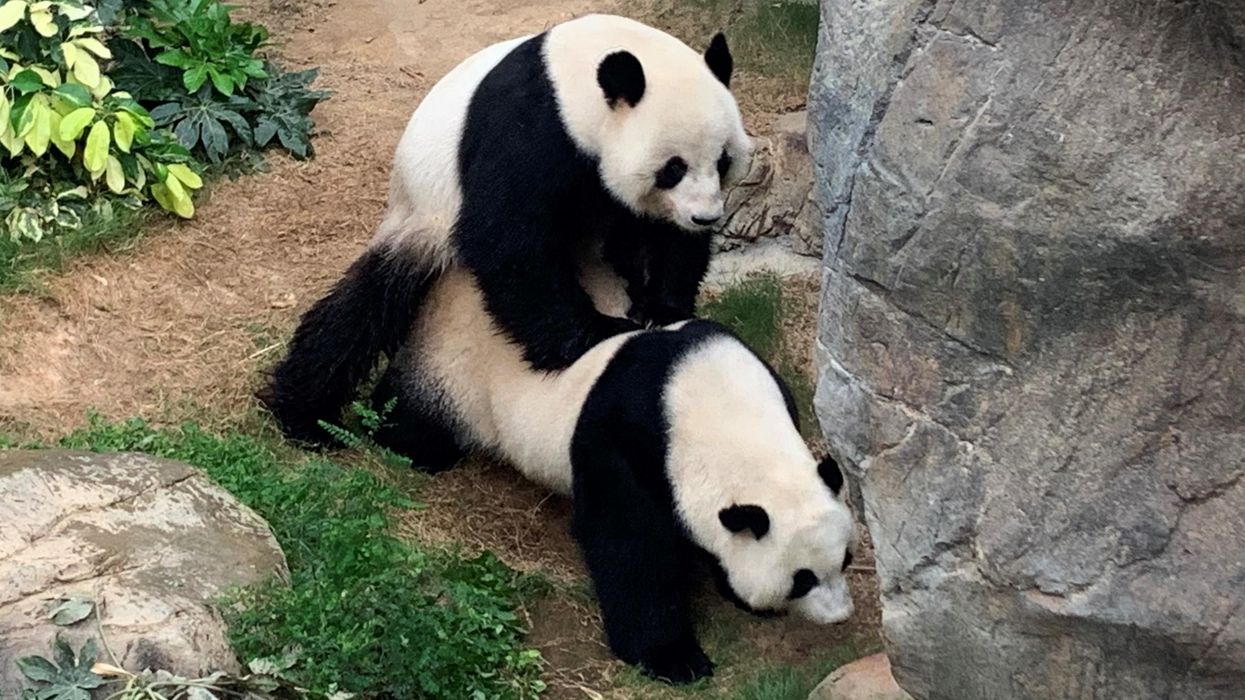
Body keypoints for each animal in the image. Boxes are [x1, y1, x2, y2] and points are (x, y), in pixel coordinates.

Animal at [261, 14, 754, 443]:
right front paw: (594, 332)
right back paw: (305, 416)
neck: (575, 81)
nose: (705, 217)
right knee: (362, 310)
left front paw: (661, 307)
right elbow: (507, 238)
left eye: (723, 160)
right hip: (420, 215)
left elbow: (661, 236)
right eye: (673, 168)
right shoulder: (529, 127)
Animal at [371, 260, 856, 684]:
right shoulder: (626, 439)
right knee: (414, 417)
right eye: (802, 580)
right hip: (454, 368)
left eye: (846, 559)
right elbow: (628, 545)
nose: (840, 616)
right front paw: (674, 658)